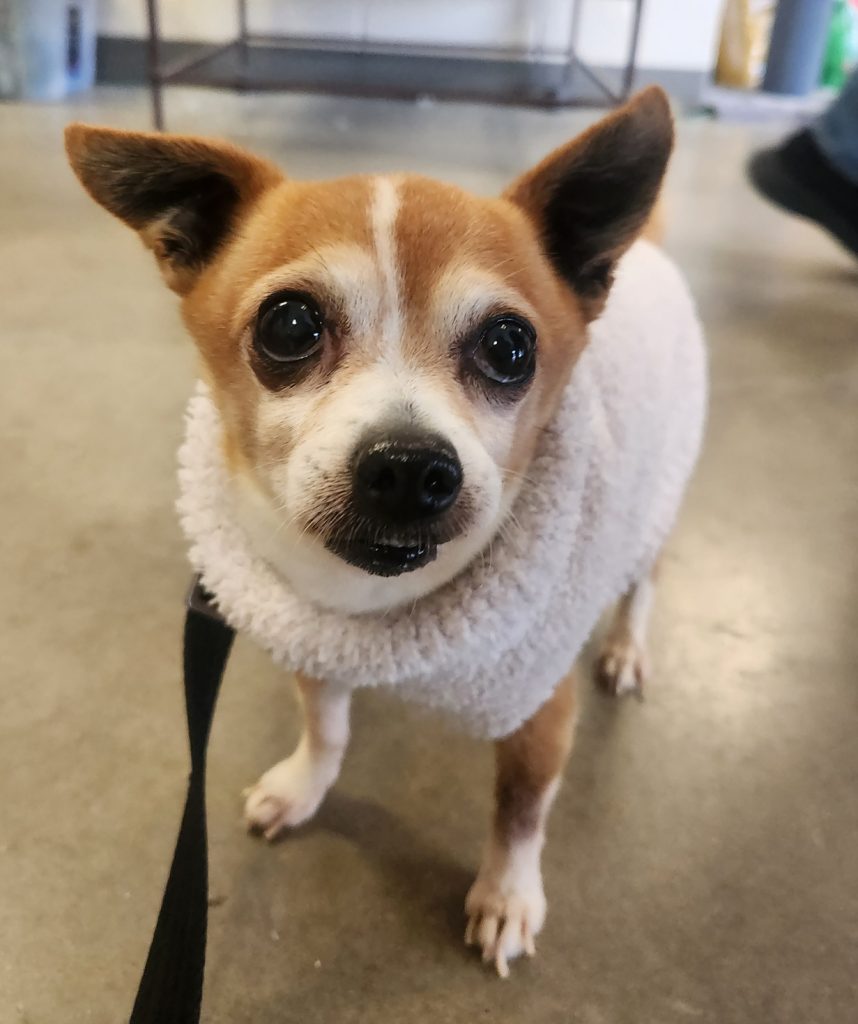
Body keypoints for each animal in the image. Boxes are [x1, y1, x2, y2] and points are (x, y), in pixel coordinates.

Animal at [65, 86, 705, 978]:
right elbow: (327, 728)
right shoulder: (317, 645)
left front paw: (508, 894)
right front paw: (303, 785)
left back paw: (625, 647)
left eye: (510, 345)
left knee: (645, 580)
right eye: (289, 326)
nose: (408, 467)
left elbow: (520, 809)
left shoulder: (540, 712)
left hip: (655, 501)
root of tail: (642, 250)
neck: (381, 608)